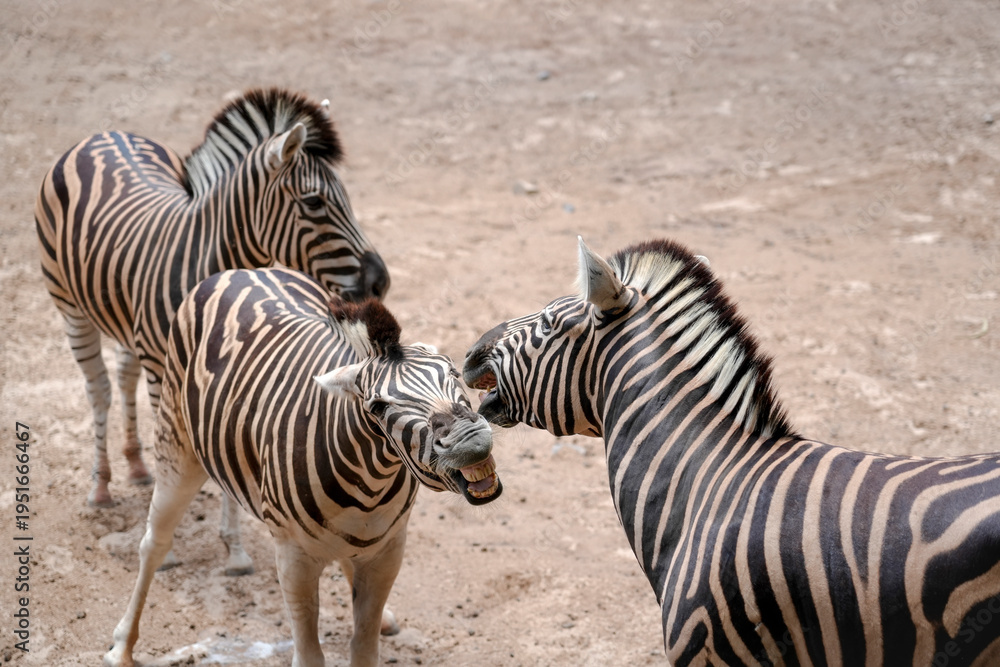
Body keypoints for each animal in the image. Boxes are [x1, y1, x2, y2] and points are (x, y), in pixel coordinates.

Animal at [35, 87, 389, 510]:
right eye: (313, 203)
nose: (380, 281)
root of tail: (103, 134)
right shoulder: (165, 370)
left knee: (123, 375)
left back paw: (136, 465)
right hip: (70, 307)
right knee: (98, 389)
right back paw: (101, 485)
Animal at [104, 267, 502, 667]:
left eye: (453, 373)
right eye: (377, 407)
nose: (470, 441)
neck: (369, 487)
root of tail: (242, 271)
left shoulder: (388, 550)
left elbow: (364, 647)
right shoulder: (294, 559)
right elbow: (310, 655)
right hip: (177, 445)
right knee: (154, 543)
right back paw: (122, 645)